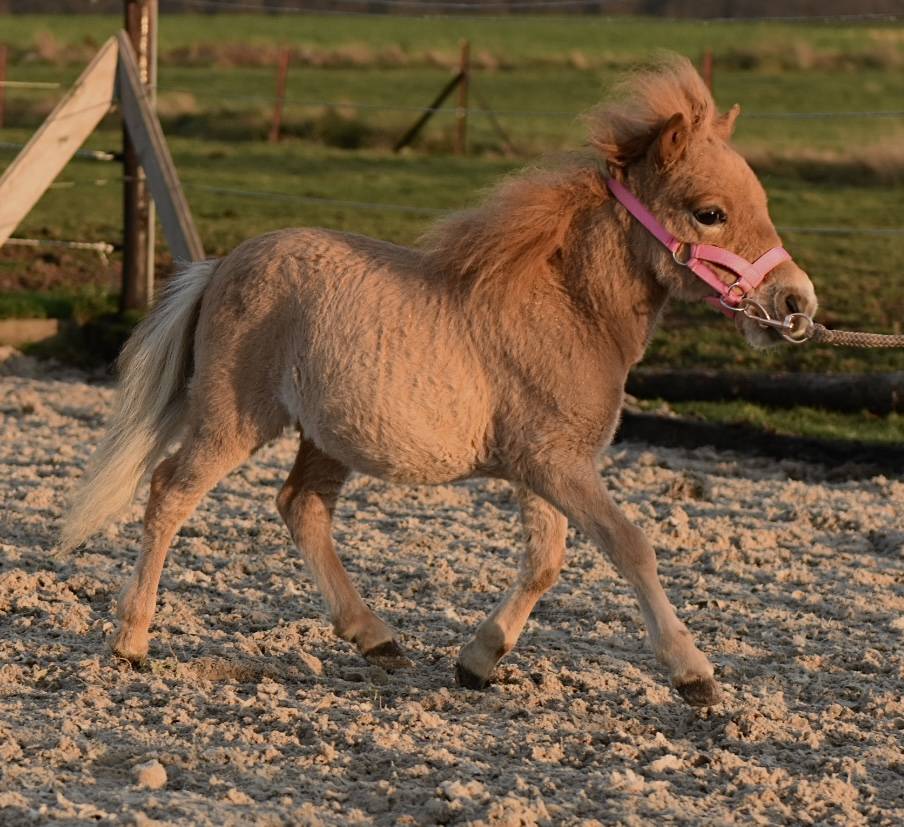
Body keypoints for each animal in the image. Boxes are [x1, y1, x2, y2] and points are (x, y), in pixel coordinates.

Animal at [62, 55, 817, 707]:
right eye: (711, 213)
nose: (795, 303)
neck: (572, 309)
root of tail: (220, 266)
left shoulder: (544, 467)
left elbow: (545, 561)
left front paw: (477, 661)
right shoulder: (556, 463)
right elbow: (630, 546)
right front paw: (694, 675)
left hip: (325, 437)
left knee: (301, 506)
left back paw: (378, 639)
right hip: (233, 418)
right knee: (170, 493)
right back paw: (131, 640)